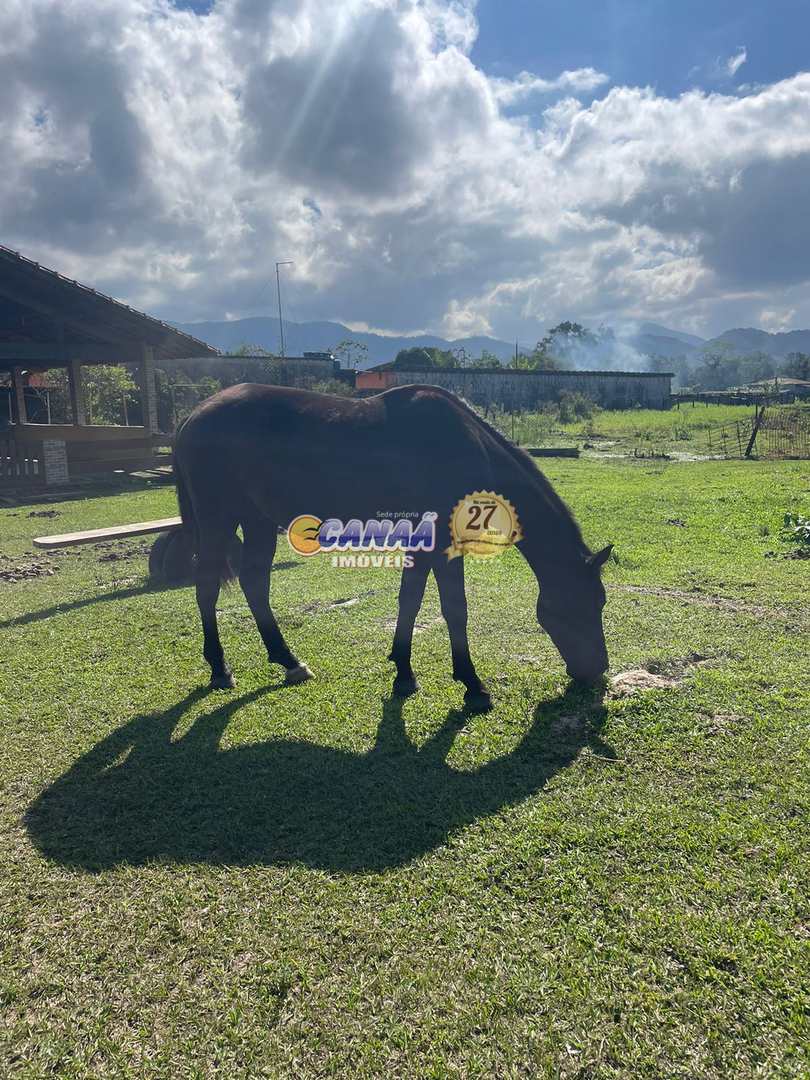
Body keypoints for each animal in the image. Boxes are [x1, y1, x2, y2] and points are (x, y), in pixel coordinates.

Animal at [174, 382, 613, 708]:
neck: (462, 448)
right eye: (589, 603)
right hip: (217, 520)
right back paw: (220, 669)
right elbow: (455, 610)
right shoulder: (442, 547)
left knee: (254, 584)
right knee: (207, 587)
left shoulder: (422, 546)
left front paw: (404, 674)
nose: (597, 670)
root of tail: (193, 415)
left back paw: (289, 661)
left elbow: (411, 601)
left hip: (258, 521)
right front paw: (473, 686)